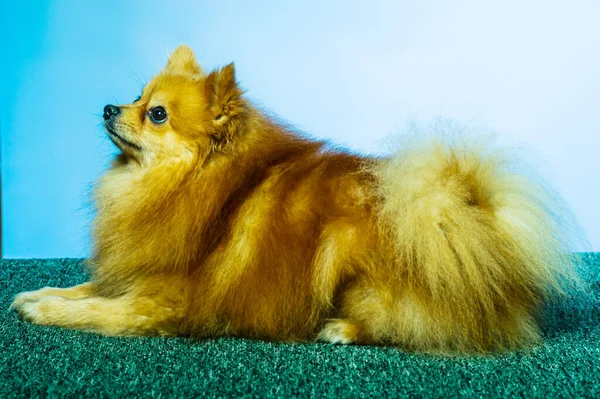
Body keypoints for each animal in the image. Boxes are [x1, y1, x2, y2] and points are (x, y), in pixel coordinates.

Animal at [10, 45, 580, 354]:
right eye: (135, 97)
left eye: (157, 114)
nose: (109, 107)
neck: (184, 183)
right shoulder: (131, 271)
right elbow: (86, 287)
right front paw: (39, 293)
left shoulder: (162, 301)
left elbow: (95, 311)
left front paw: (46, 311)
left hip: (354, 255)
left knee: (411, 328)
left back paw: (340, 329)